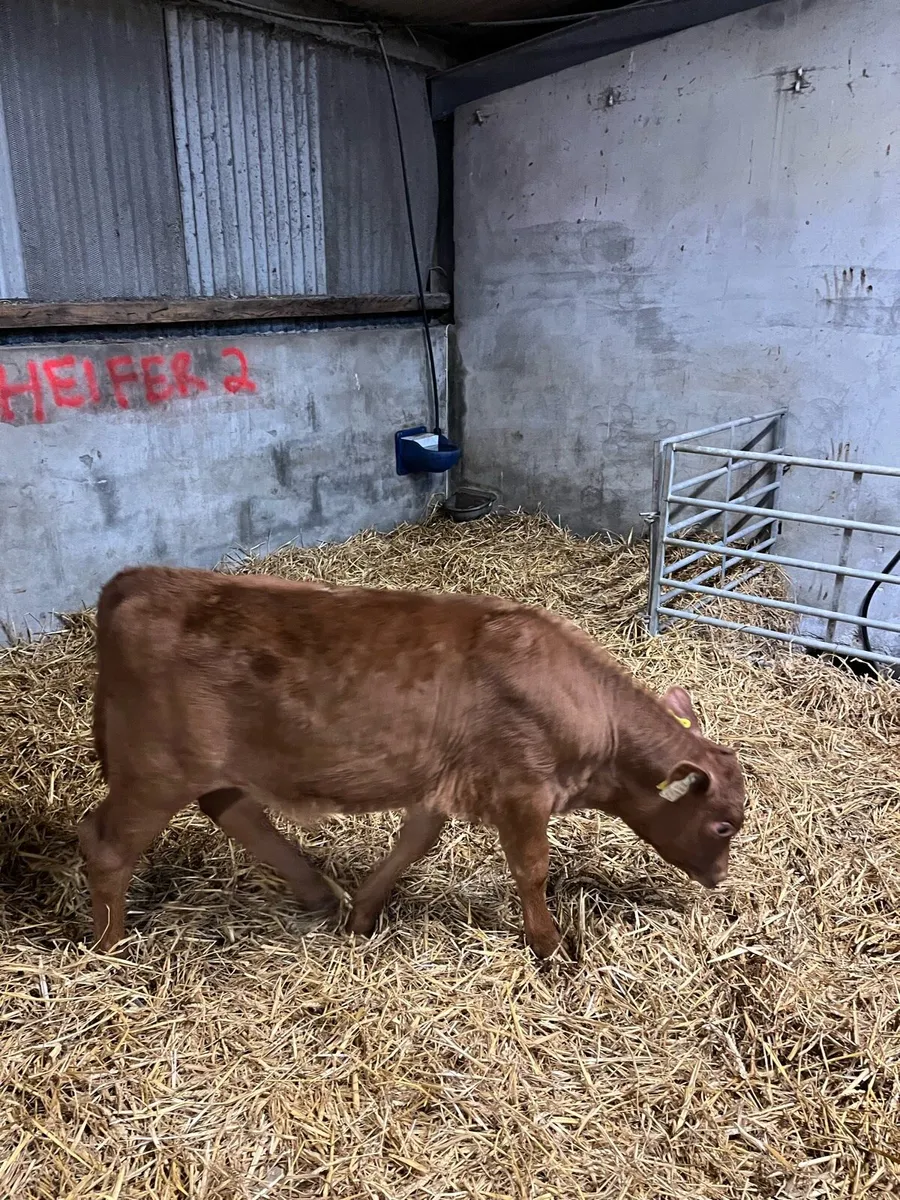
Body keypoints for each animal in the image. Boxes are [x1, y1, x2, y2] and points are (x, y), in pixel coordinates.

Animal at [79, 566, 745, 956]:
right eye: (723, 825)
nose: (719, 878)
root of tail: (140, 579)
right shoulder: (520, 789)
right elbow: (531, 869)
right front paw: (551, 947)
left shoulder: (444, 782)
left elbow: (413, 845)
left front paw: (363, 913)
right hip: (155, 769)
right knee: (107, 845)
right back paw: (109, 947)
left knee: (234, 810)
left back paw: (319, 894)